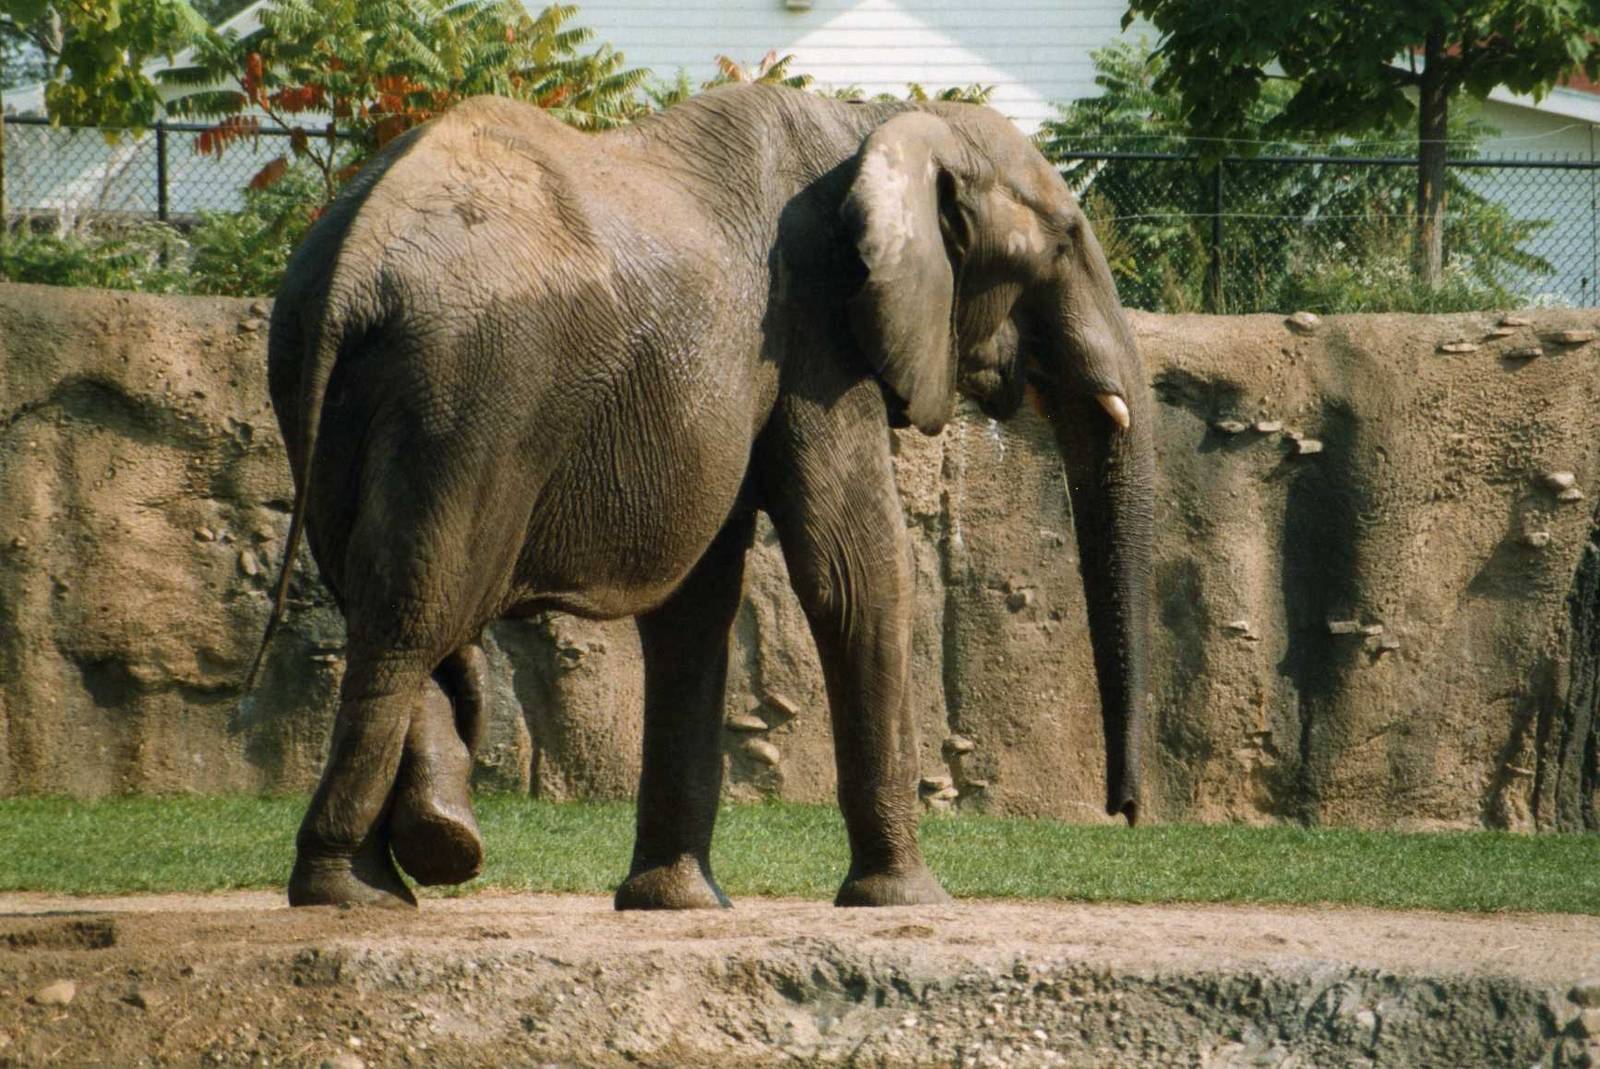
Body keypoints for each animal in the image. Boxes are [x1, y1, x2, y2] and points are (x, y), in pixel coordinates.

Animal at [256, 83, 1153, 911]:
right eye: (1066, 241)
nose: (1127, 812)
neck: (879, 119)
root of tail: (353, 259)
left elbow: (697, 605)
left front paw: (677, 903)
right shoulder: (816, 333)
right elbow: (855, 571)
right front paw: (911, 900)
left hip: (328, 382)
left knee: (378, 594)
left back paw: (423, 851)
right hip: (469, 386)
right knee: (418, 611)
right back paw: (357, 889)